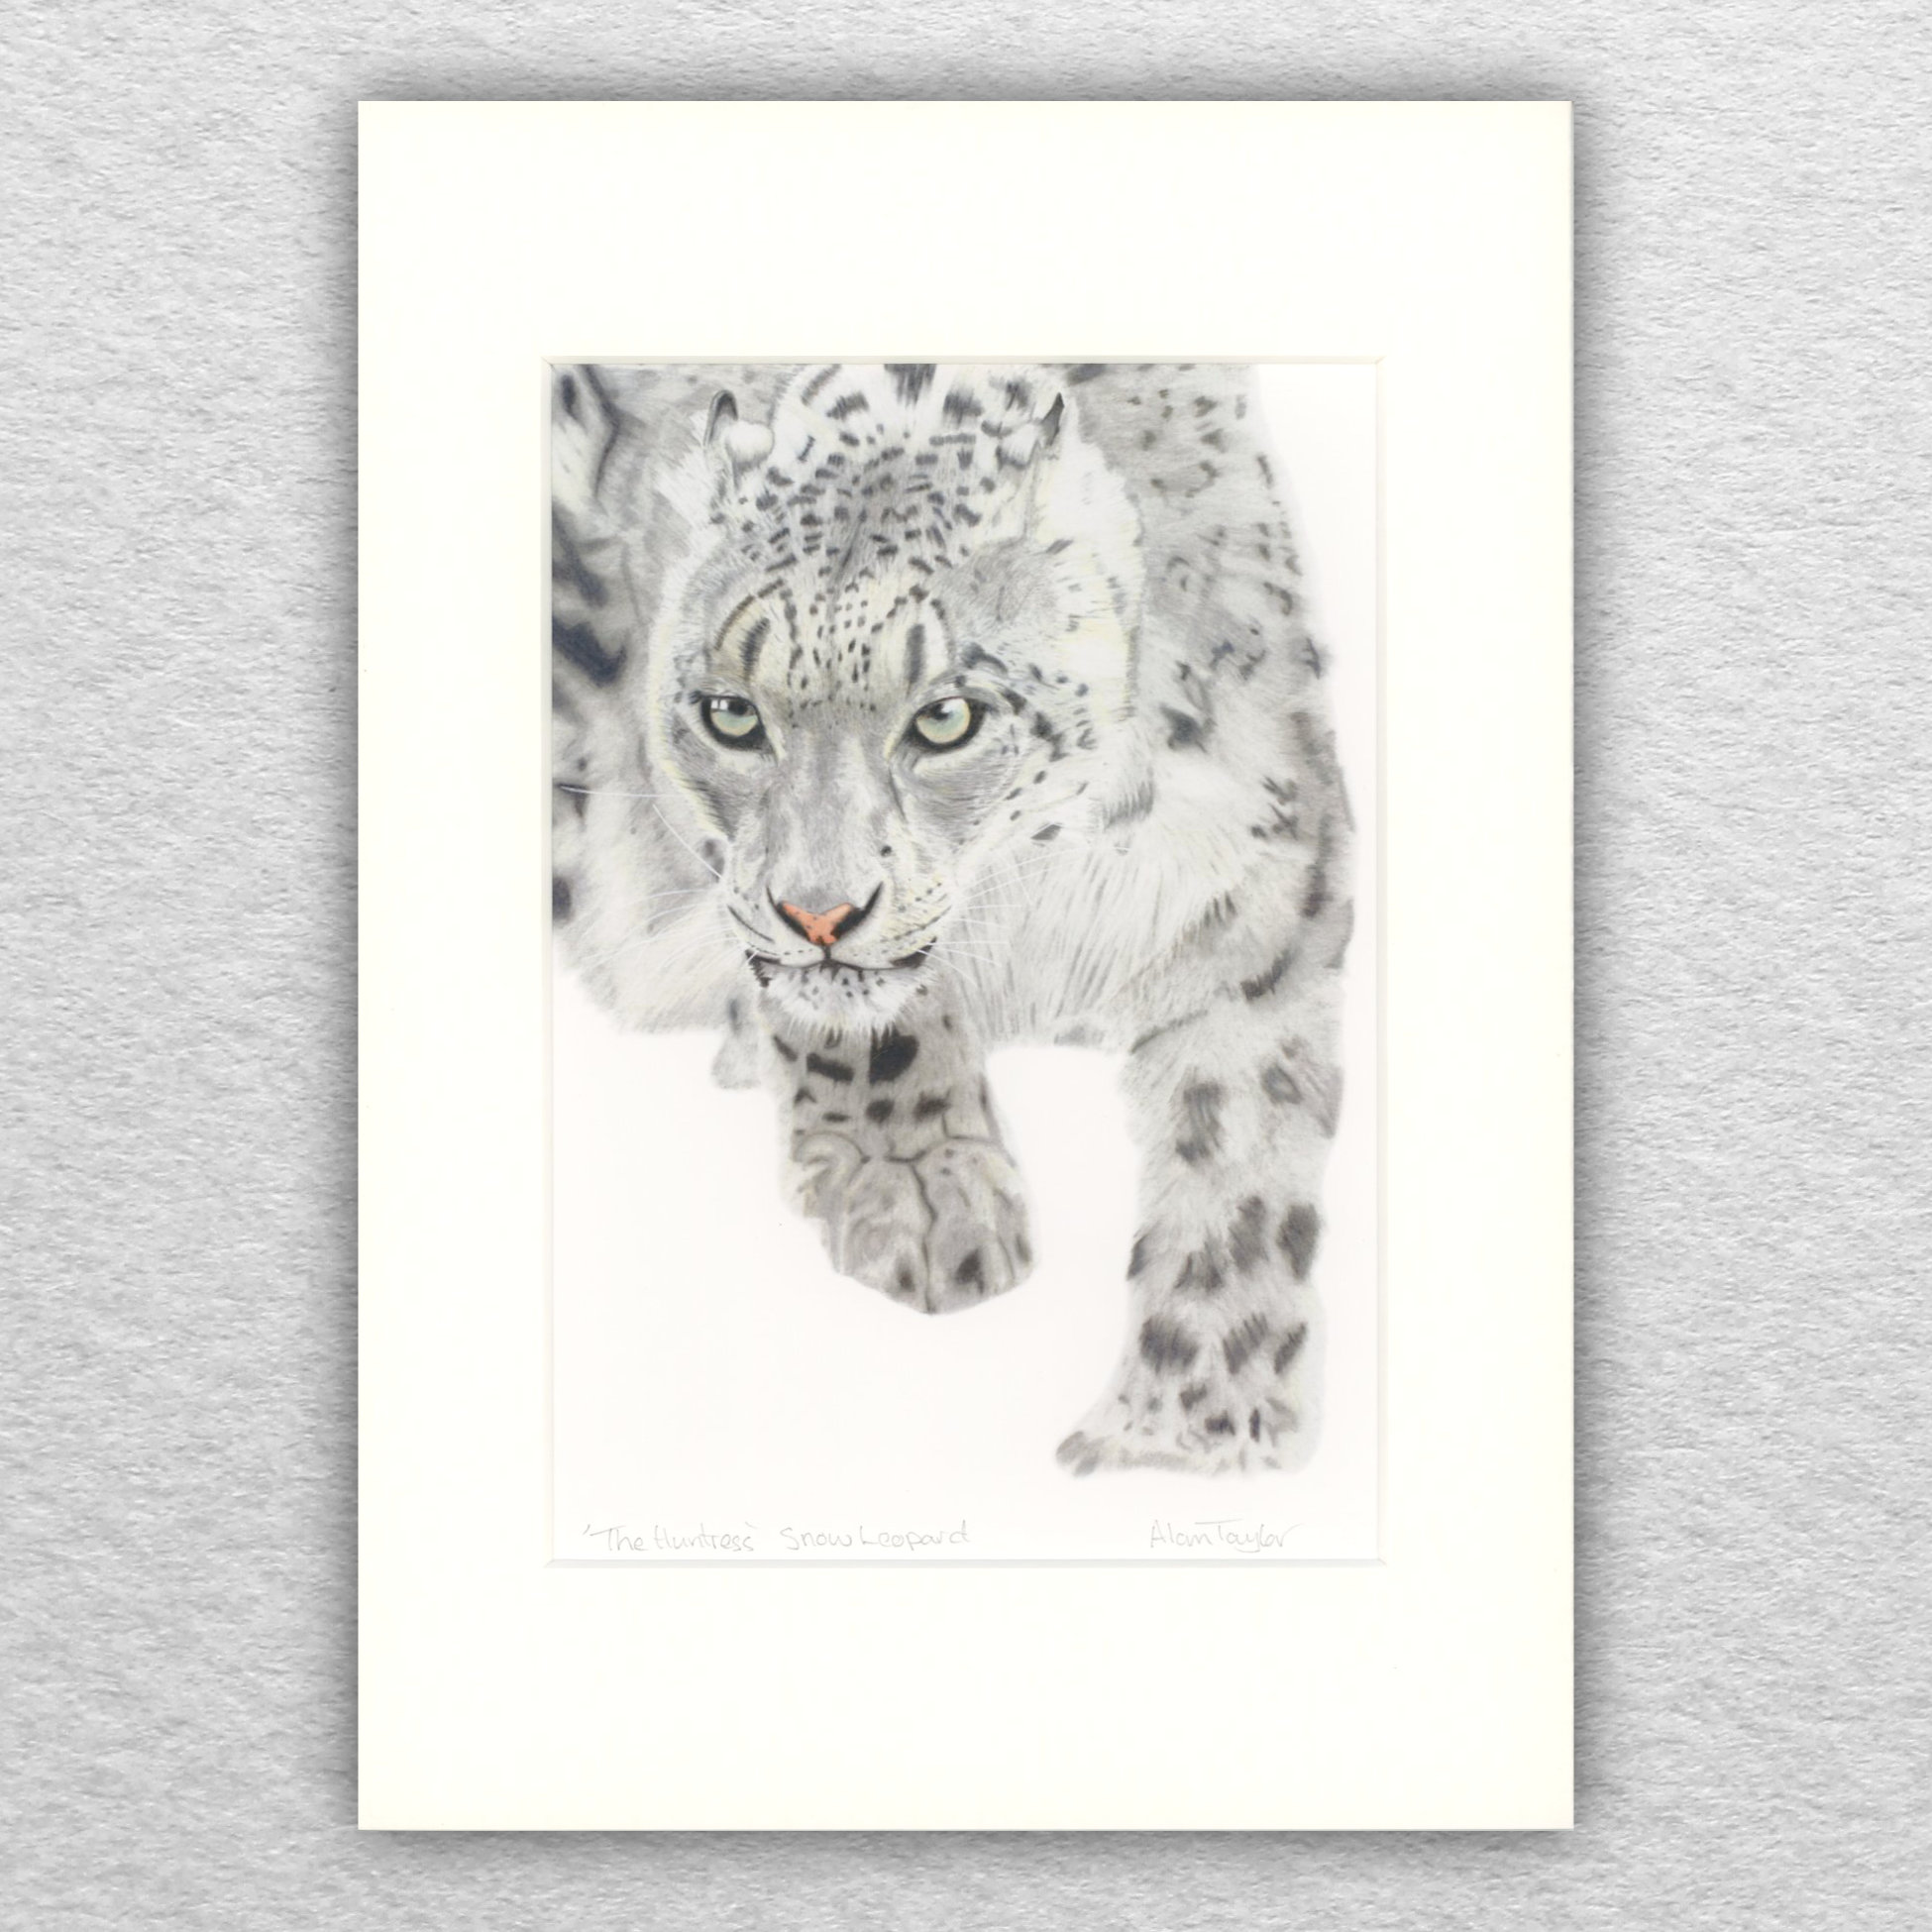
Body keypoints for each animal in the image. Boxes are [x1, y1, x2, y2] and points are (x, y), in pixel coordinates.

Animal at [551, 361, 1354, 1476]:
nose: (818, 914)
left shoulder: (1265, 897)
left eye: (946, 716)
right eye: (731, 715)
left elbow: (1241, 1173)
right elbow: (866, 1021)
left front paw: (1187, 1431)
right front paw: (920, 1191)